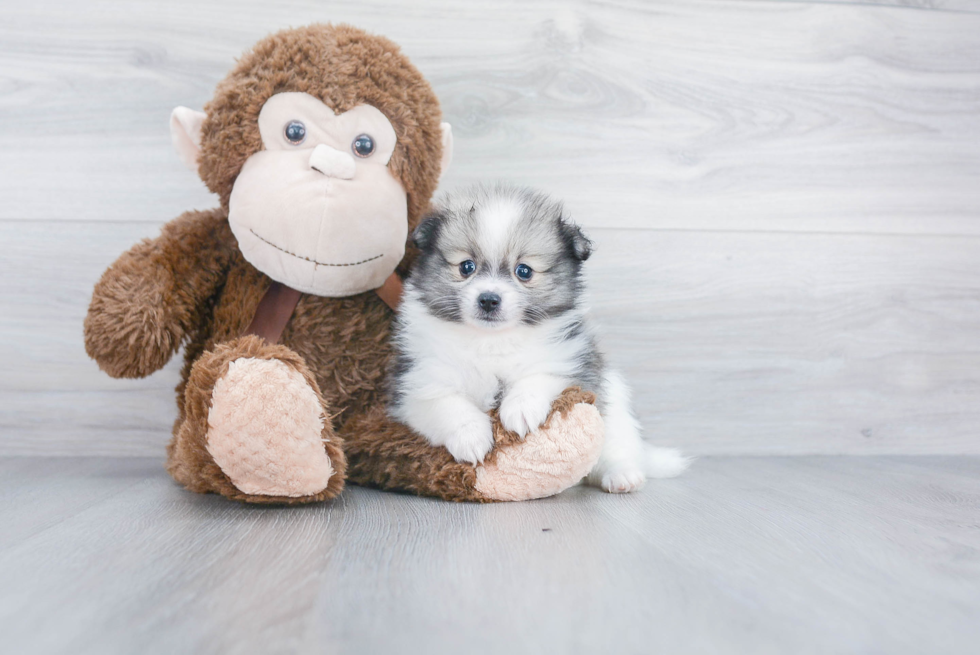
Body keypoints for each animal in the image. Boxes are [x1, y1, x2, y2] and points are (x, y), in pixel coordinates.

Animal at [386, 184, 684, 492]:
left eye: (524, 271)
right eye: (466, 267)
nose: (488, 300)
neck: (491, 341)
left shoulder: (568, 363)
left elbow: (537, 378)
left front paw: (520, 409)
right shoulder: (420, 382)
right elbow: (450, 406)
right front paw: (472, 437)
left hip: (615, 408)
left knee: (617, 449)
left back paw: (622, 476)